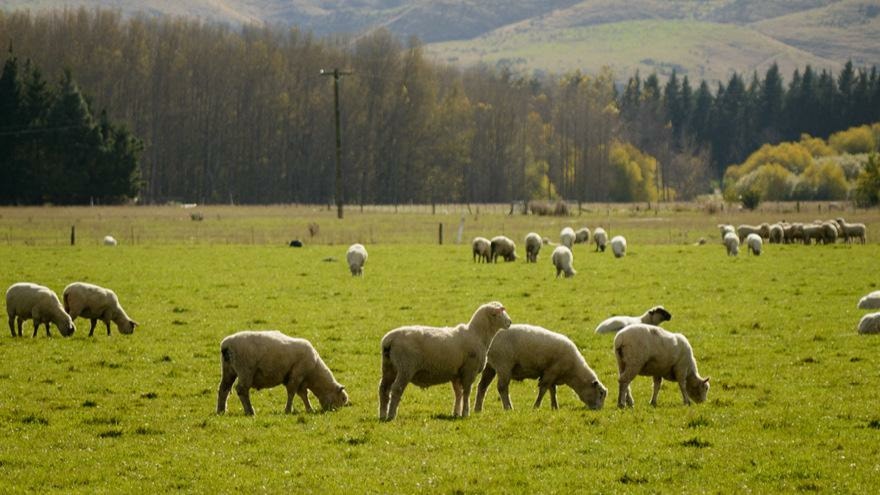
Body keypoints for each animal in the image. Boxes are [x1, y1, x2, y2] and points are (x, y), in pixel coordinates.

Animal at [215, 332, 348, 416]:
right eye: (342, 399)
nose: (333, 412)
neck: (314, 372)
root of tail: (226, 345)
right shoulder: (296, 375)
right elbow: (292, 392)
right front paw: (288, 410)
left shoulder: (300, 379)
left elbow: (303, 394)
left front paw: (309, 409)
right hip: (245, 370)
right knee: (241, 390)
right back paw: (250, 411)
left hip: (229, 370)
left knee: (223, 389)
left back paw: (221, 411)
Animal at [376, 300, 512, 420]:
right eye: (499, 313)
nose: (509, 322)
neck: (477, 335)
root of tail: (388, 340)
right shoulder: (469, 370)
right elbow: (467, 392)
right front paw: (465, 413)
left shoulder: (456, 373)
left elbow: (458, 393)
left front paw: (456, 413)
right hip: (405, 367)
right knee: (396, 389)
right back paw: (391, 415)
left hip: (389, 367)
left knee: (383, 389)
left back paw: (382, 414)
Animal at [474, 324, 604, 412]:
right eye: (601, 393)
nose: (598, 409)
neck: (574, 371)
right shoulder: (551, 372)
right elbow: (543, 390)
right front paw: (536, 406)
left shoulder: (552, 373)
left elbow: (553, 390)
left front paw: (555, 407)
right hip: (504, 364)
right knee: (502, 388)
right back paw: (508, 408)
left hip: (490, 366)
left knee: (482, 386)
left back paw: (478, 409)